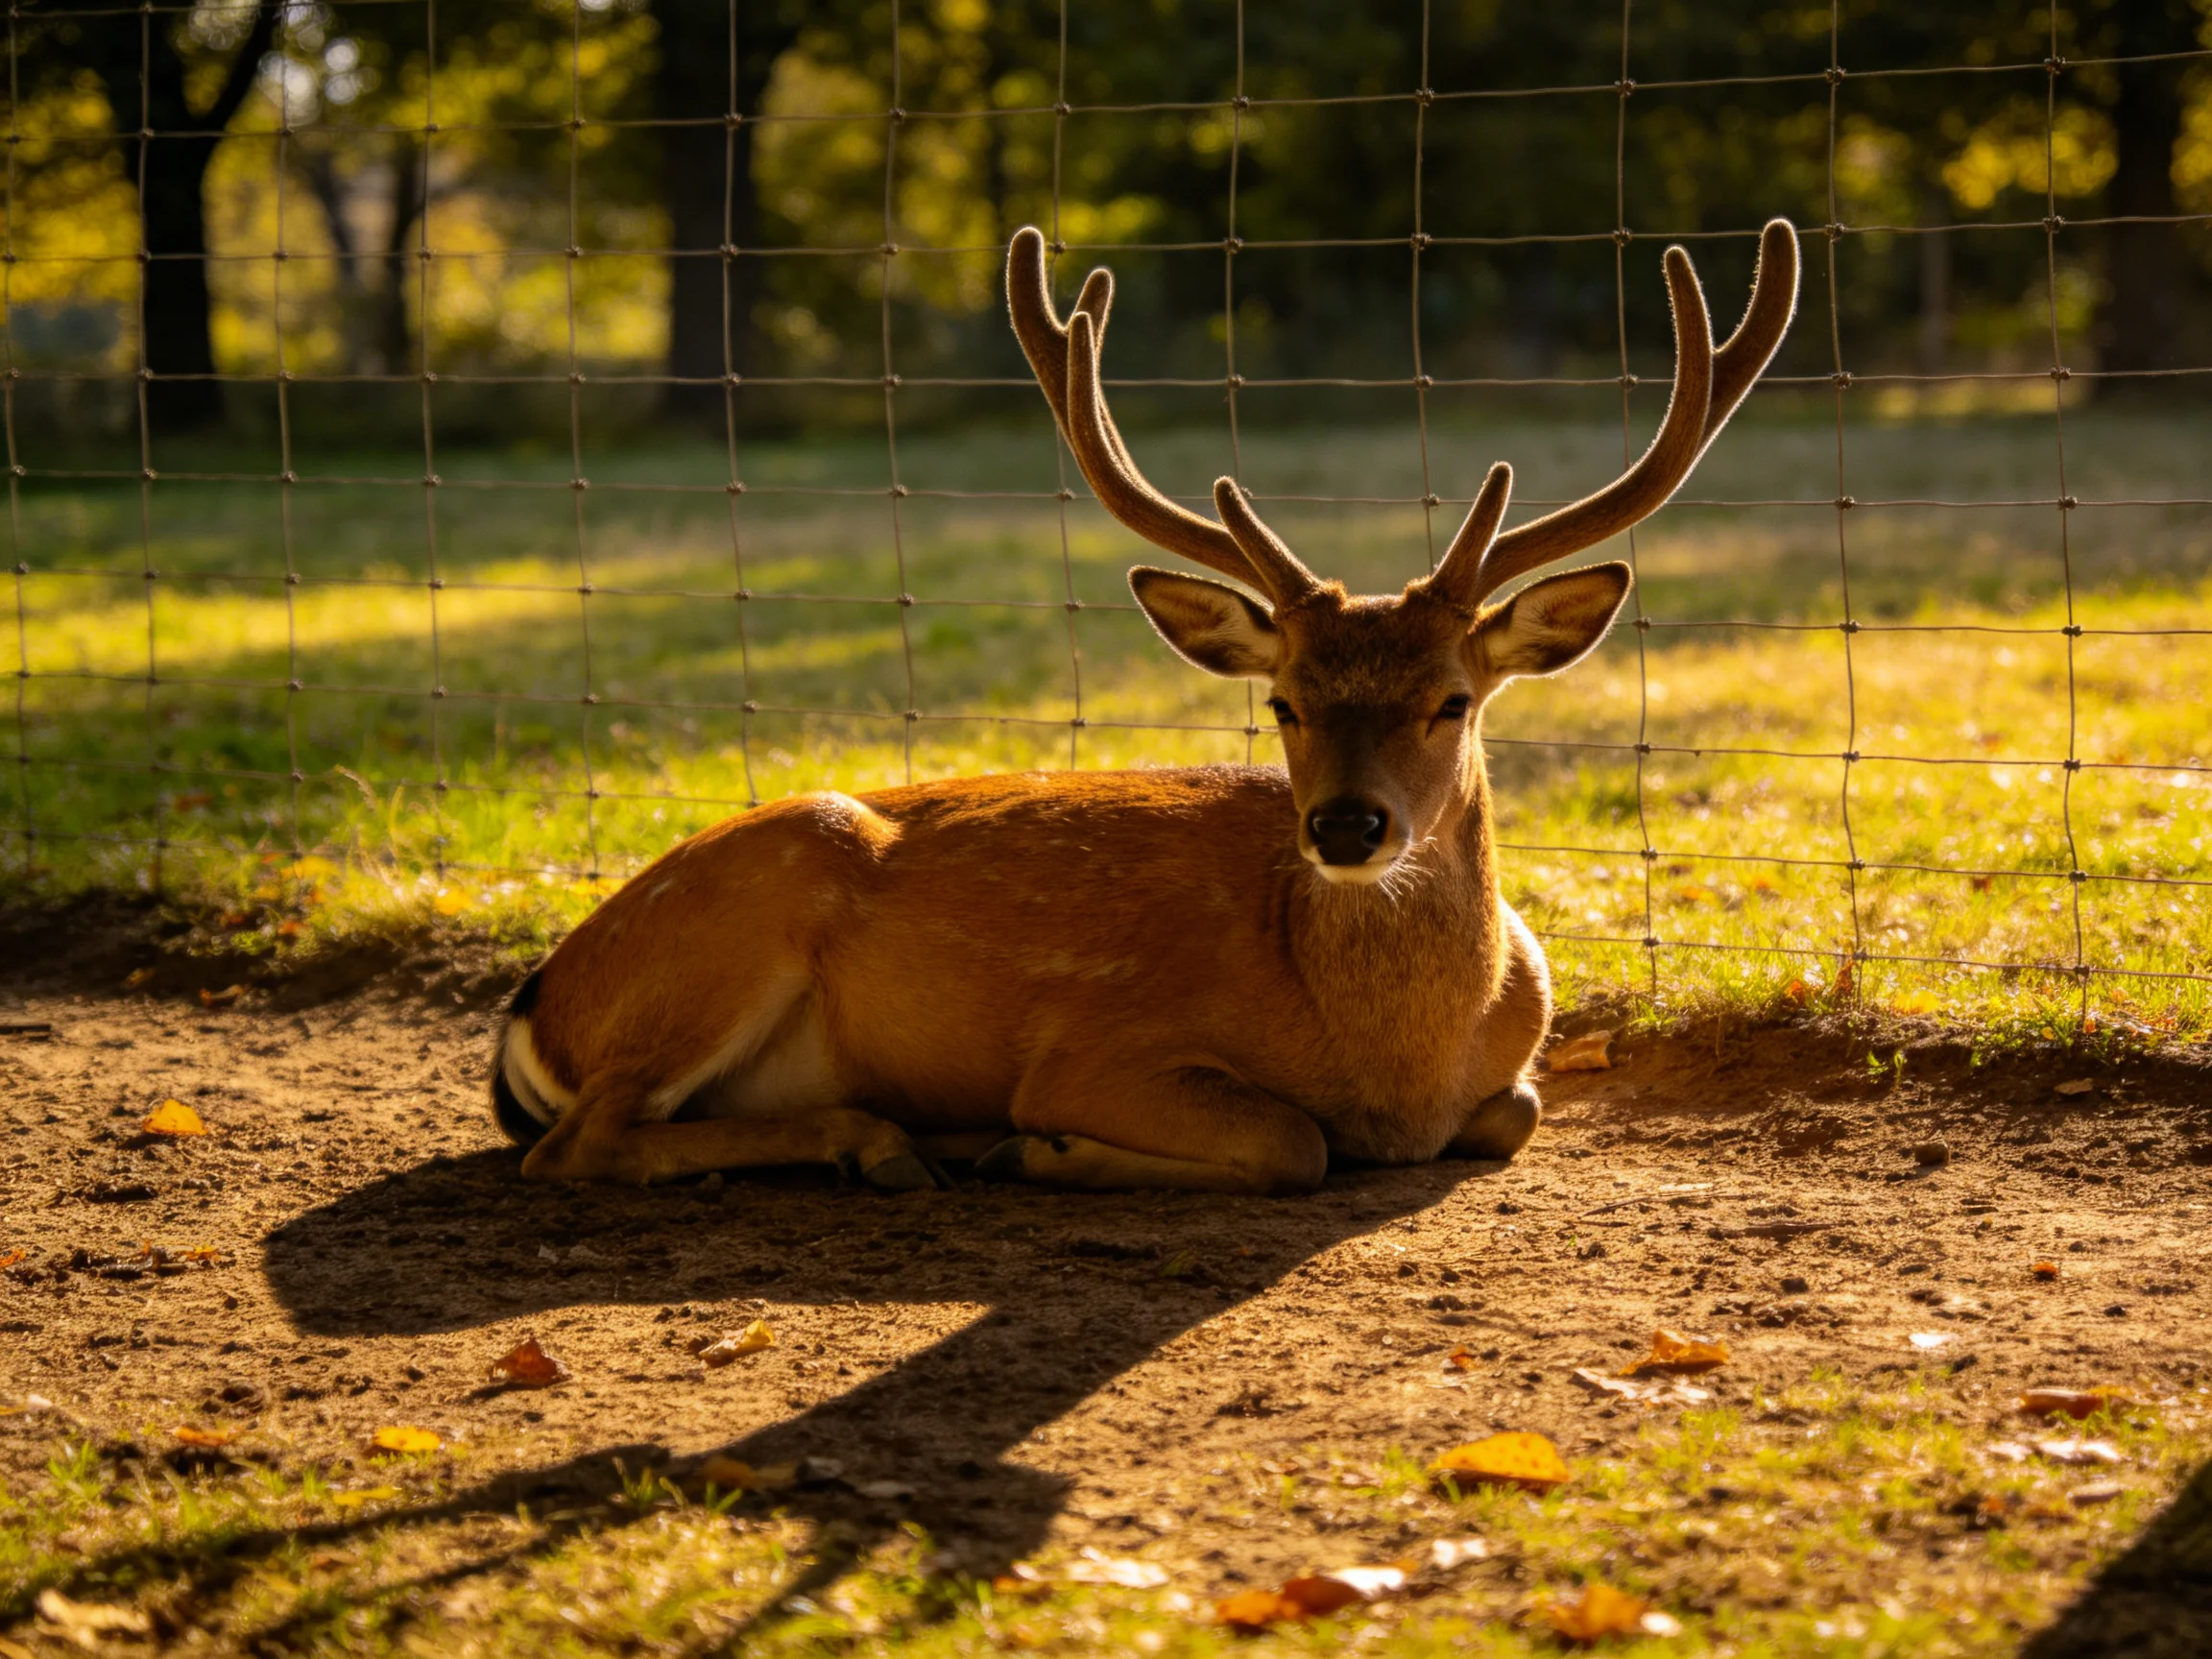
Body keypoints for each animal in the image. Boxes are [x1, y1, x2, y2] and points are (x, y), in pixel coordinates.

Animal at [489, 220, 1798, 1195]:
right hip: (754, 896)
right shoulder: (1094, 1048)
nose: (1347, 828)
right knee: (580, 1145)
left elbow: (1511, 1115)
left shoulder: (1512, 1071)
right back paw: (886, 1142)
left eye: (1455, 700)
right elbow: (1291, 1141)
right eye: (1283, 702)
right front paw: (1038, 1147)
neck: (1398, 1073)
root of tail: (532, 1005)